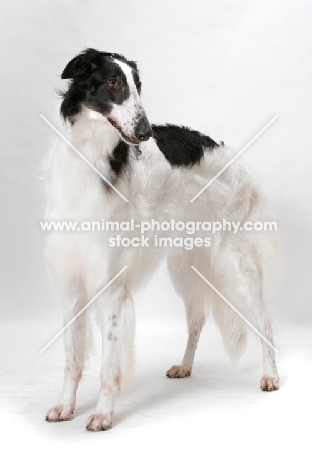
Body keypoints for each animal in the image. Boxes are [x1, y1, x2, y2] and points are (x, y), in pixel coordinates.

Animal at [43, 47, 278, 432]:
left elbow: (109, 363)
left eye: (138, 86)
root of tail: (231, 155)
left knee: (264, 320)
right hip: (186, 266)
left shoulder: (112, 284)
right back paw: (185, 366)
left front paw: (103, 414)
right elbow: (72, 358)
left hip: (235, 262)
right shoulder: (73, 280)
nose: (145, 131)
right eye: (112, 82)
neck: (93, 160)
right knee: (197, 320)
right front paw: (65, 406)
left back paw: (271, 374)